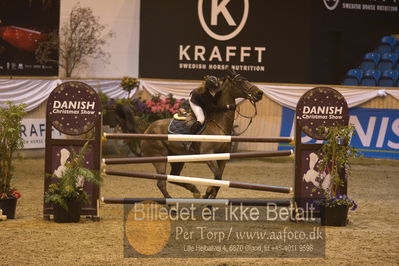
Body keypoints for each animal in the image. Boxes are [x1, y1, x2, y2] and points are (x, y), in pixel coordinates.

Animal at [141, 69, 266, 200]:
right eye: (241, 81)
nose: (259, 93)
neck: (218, 125)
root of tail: (148, 129)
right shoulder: (208, 154)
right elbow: (217, 176)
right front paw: (208, 192)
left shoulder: (223, 157)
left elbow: (219, 180)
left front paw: (209, 195)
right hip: (160, 157)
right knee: (161, 182)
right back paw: (172, 203)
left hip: (177, 158)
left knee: (173, 177)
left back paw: (195, 190)